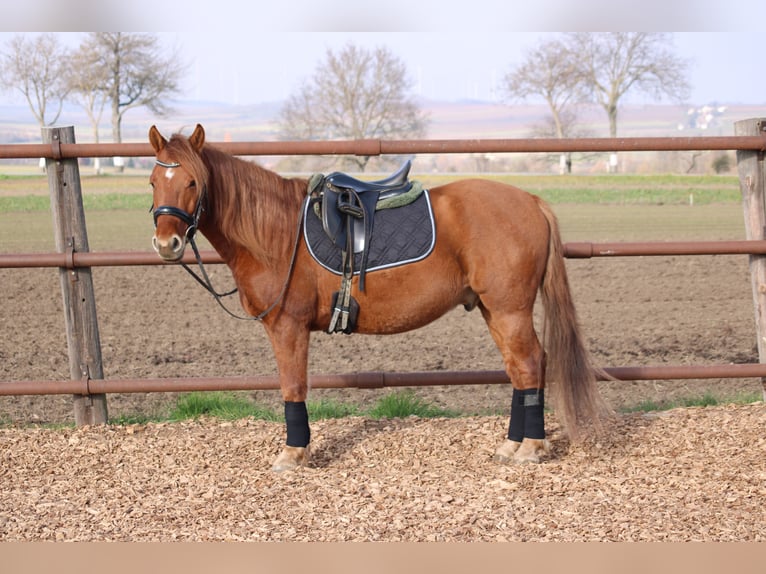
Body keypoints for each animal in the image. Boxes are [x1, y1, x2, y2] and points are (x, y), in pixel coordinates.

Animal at [148, 125, 608, 472]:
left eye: (192, 182)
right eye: (154, 182)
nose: (167, 244)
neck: (278, 234)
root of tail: (531, 201)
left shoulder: (288, 326)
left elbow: (293, 385)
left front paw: (294, 453)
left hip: (510, 310)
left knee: (529, 364)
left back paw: (531, 447)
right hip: (494, 310)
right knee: (519, 367)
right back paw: (513, 444)